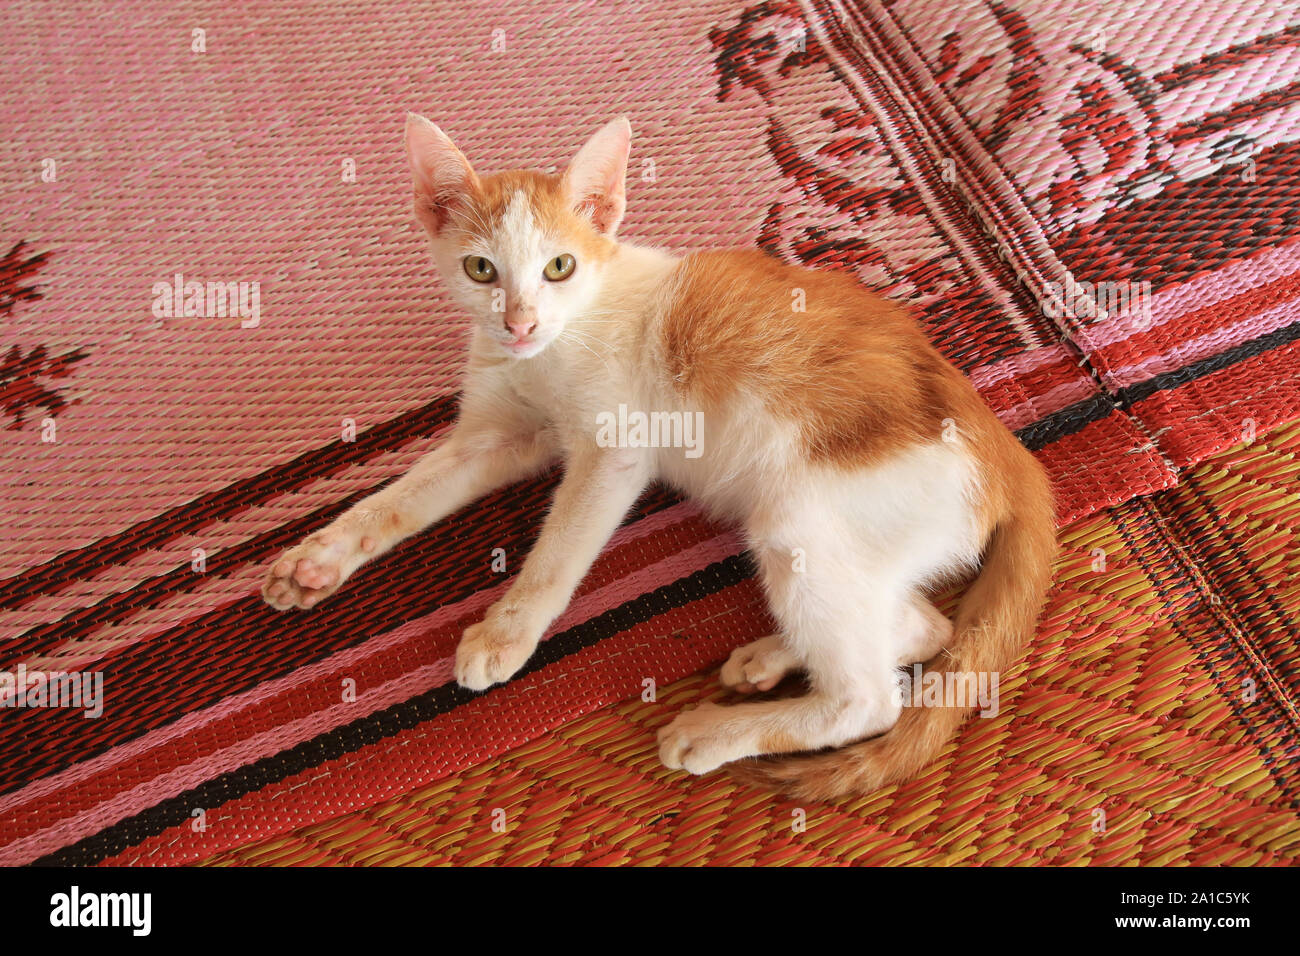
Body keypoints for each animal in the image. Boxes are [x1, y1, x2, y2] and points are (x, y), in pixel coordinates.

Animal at [261, 111, 1055, 801]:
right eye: (482, 270)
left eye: (559, 266)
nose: (519, 323)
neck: (551, 347)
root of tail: (1007, 452)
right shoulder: (495, 437)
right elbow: (393, 502)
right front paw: (315, 560)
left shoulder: (614, 451)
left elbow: (558, 553)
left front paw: (507, 632)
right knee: (922, 627)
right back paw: (775, 657)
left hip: (803, 516)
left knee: (870, 700)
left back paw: (719, 731)